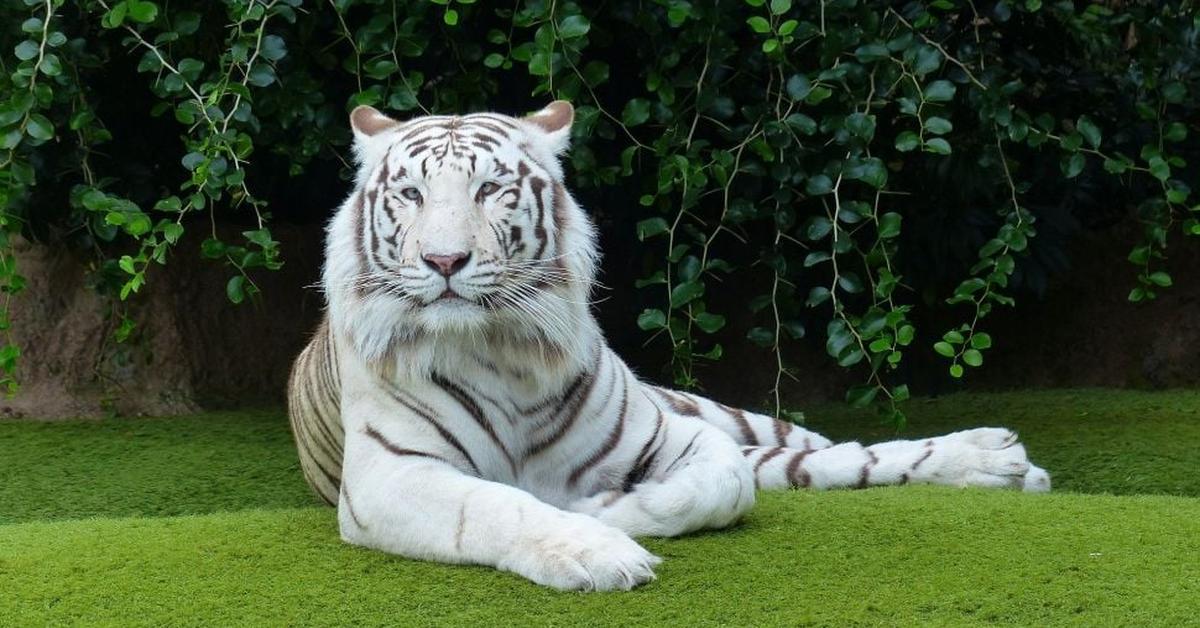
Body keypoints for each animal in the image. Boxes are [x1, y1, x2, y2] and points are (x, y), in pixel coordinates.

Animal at [288, 100, 1051, 593]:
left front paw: (604, 510)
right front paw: (594, 549)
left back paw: (998, 460)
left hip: (730, 416)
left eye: (491, 189)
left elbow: (723, 484)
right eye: (412, 196)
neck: (501, 348)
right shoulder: (388, 475)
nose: (444, 261)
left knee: (832, 455)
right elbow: (498, 504)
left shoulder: (673, 434)